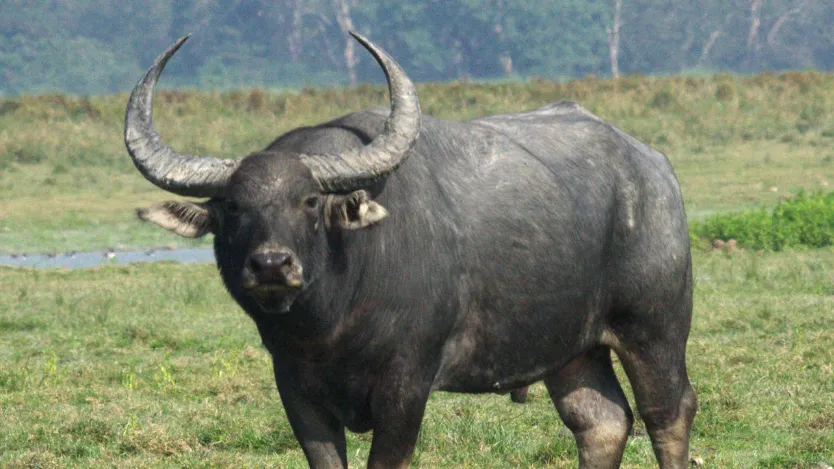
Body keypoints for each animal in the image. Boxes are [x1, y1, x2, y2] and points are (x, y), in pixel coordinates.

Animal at [126, 33, 696, 469]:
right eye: (231, 207)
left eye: (309, 201)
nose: (271, 264)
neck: (330, 324)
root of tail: (653, 167)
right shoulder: (297, 391)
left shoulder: (405, 387)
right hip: (573, 349)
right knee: (601, 422)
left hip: (654, 328)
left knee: (667, 413)